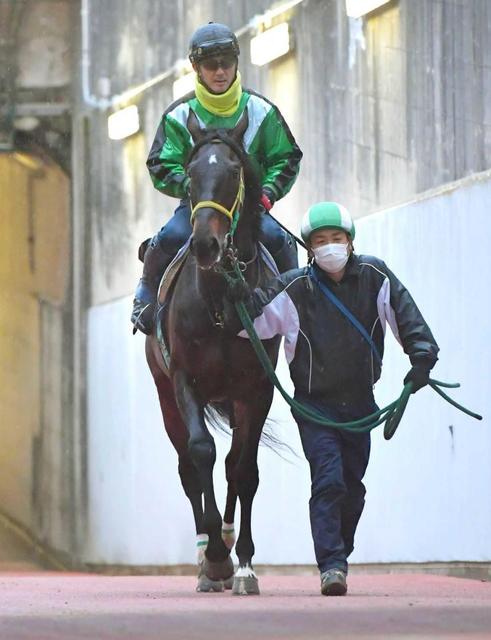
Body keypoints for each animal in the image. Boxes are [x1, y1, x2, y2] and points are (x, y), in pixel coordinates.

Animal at [145, 108, 281, 595]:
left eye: (235, 171)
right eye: (189, 174)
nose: (206, 244)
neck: (223, 299)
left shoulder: (257, 388)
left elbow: (244, 468)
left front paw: (244, 564)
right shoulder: (185, 379)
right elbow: (201, 452)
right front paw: (219, 560)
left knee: (232, 463)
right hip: (164, 392)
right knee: (189, 466)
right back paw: (207, 552)